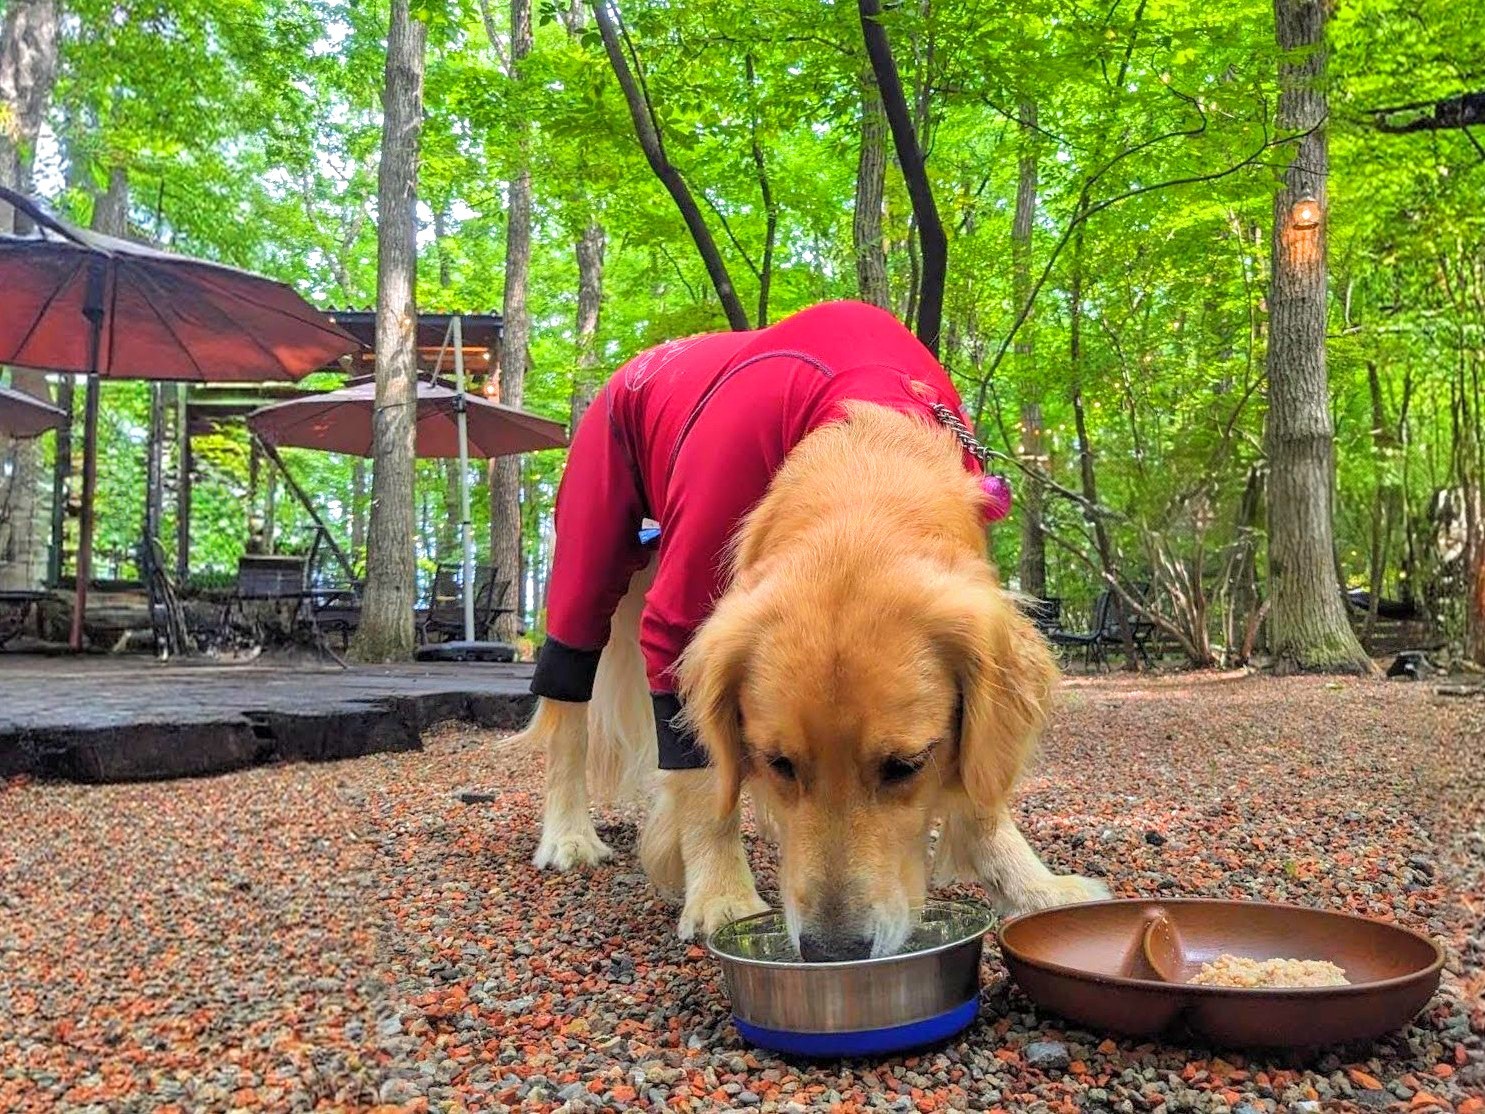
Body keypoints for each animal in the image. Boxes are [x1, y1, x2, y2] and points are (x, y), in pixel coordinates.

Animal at [510, 398, 1104, 962]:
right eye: (779, 763)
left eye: (906, 766)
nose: (832, 953)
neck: (866, 457)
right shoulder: (675, 620)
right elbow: (705, 785)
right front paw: (721, 895)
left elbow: (982, 785)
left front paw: (1033, 888)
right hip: (591, 557)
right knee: (568, 713)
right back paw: (568, 835)